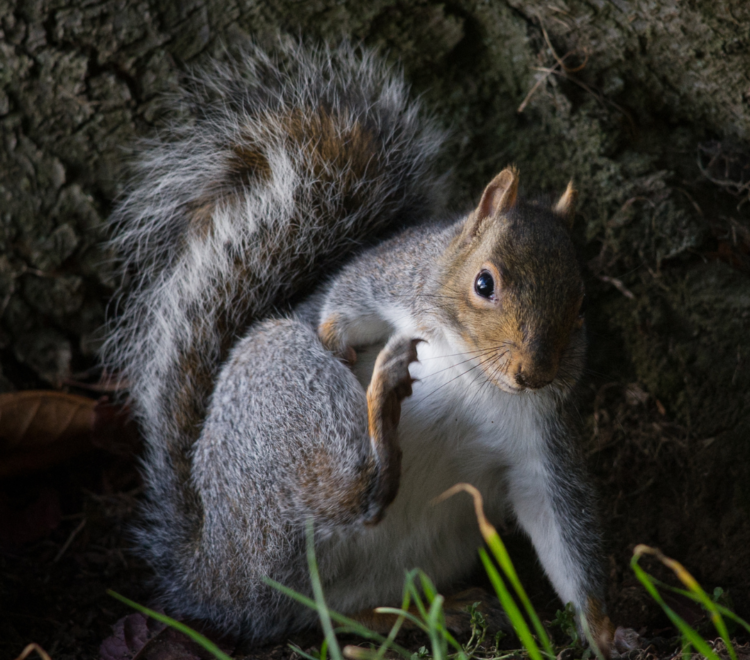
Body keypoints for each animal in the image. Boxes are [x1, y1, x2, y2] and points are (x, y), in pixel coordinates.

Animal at [101, 42, 616, 656]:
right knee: (348, 493)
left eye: (581, 306)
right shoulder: (394, 274)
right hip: (278, 408)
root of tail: (212, 579)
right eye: (484, 283)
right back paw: (380, 397)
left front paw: (604, 631)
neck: (475, 377)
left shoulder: (540, 436)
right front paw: (333, 340)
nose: (533, 373)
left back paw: (441, 612)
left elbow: (561, 532)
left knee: (336, 608)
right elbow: (346, 296)